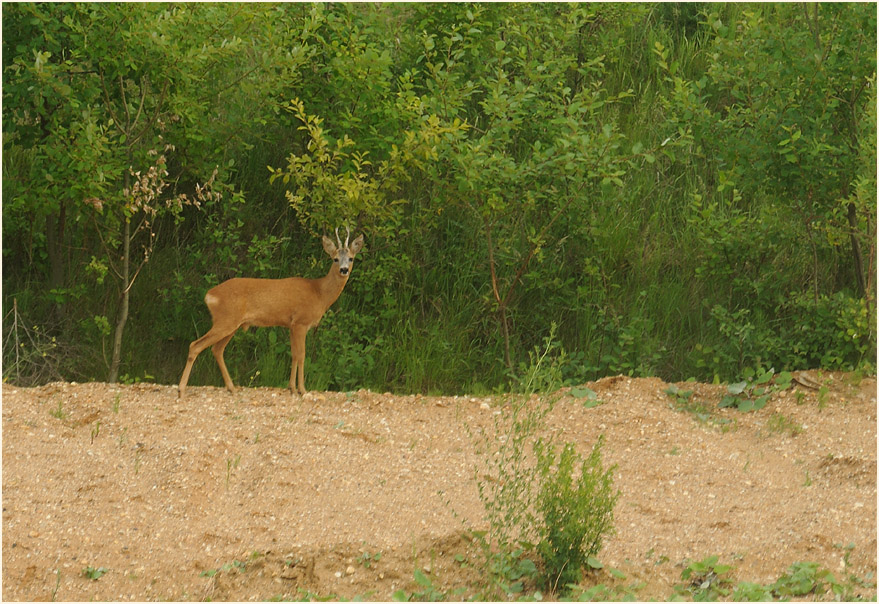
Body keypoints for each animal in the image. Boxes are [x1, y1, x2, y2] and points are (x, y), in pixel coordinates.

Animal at [179, 225, 364, 396]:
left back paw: (232, 388)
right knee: (195, 345)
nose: (344, 270)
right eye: (335, 259)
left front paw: (291, 387)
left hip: (231, 325)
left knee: (216, 350)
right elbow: (301, 355)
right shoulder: (301, 322)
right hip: (226, 320)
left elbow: (294, 354)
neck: (319, 292)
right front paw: (302, 390)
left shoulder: (291, 325)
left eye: (351, 258)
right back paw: (181, 389)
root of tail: (209, 295)